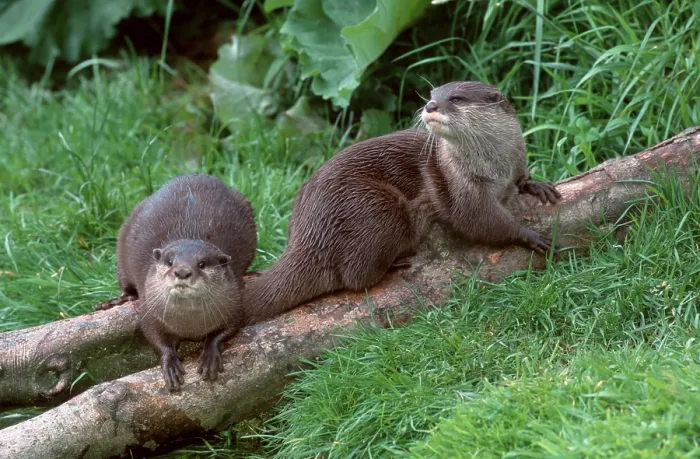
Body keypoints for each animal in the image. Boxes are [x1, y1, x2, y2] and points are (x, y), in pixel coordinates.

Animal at [96, 174, 256, 391]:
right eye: (170, 261)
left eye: (202, 263)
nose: (182, 271)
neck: (190, 326)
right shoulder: (150, 311)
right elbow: (155, 338)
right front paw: (170, 363)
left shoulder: (234, 305)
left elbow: (225, 331)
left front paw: (209, 355)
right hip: (123, 243)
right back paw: (117, 300)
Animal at [242, 81, 560, 326]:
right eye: (432, 94)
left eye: (456, 98)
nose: (430, 106)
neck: (495, 168)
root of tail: (307, 232)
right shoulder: (462, 189)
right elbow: (481, 221)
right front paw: (528, 235)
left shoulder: (516, 159)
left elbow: (521, 180)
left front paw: (537, 185)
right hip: (376, 207)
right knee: (355, 278)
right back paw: (396, 264)